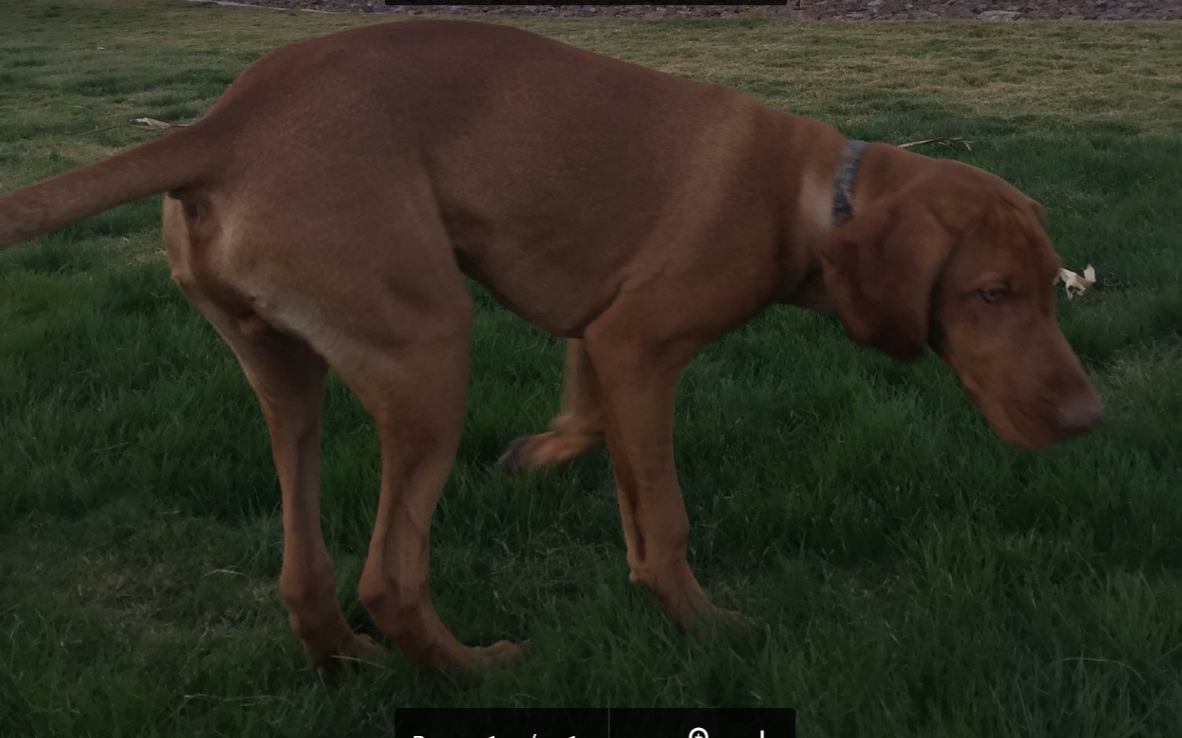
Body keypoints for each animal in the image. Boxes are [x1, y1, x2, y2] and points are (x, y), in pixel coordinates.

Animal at [0, 20, 1103, 673]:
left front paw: (540, 456)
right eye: (992, 294)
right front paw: (701, 624)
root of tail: (225, 123)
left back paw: (347, 657)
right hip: (431, 347)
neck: (811, 193)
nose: (1091, 415)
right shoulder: (641, 343)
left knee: (307, 574)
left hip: (287, 372)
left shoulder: (600, 331)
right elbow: (665, 518)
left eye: (1053, 288)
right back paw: (480, 669)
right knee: (388, 577)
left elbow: (591, 423)